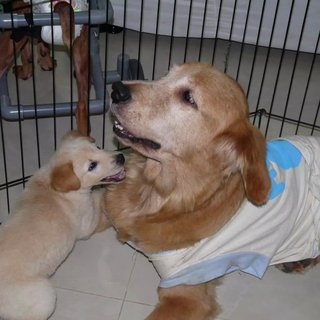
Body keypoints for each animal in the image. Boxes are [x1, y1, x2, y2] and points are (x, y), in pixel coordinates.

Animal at [0, 131, 125, 320]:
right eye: (92, 166)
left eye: (97, 147)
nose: (121, 157)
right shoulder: (88, 223)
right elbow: (99, 203)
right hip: (44, 296)